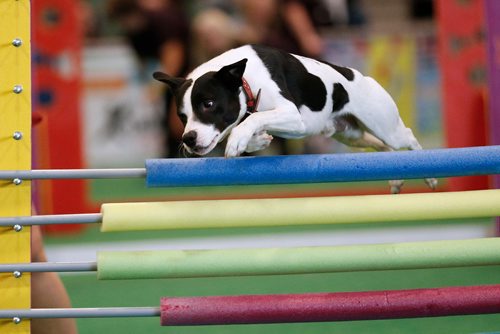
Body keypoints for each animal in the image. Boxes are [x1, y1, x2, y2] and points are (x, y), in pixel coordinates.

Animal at [153, 43, 438, 193]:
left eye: (208, 104)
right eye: (182, 116)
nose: (188, 139)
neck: (246, 79)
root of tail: (363, 76)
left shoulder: (294, 117)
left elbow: (250, 121)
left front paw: (238, 140)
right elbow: (251, 123)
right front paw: (255, 142)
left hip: (384, 124)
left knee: (406, 137)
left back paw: (429, 174)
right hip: (351, 135)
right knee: (384, 148)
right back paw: (396, 176)